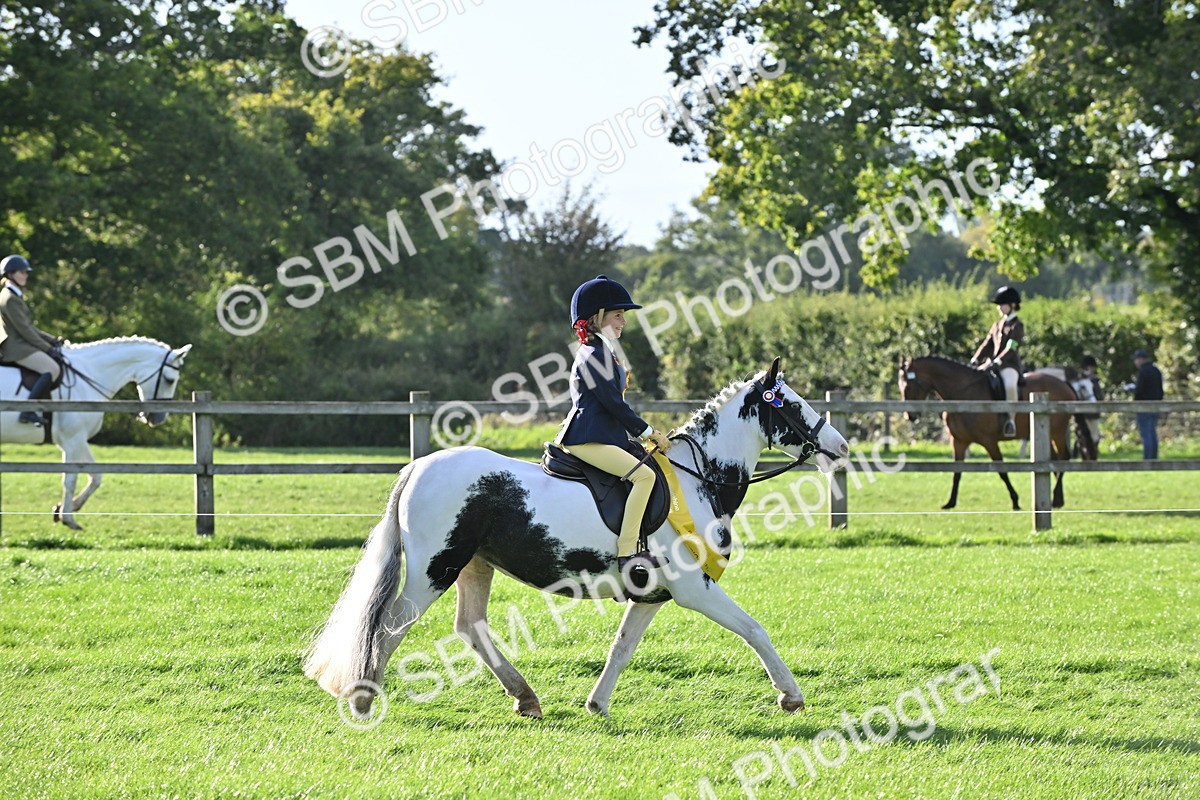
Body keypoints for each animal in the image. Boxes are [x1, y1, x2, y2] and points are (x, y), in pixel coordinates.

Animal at [0, 337, 193, 529]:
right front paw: (68, 518)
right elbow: (70, 479)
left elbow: (96, 476)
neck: (89, 375)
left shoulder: (78, 440)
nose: (159, 418)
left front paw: (65, 508)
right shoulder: (73, 440)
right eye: (170, 380)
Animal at [305, 357, 850, 720]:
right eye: (791, 404)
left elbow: (621, 648)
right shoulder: (696, 589)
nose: (841, 447)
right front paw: (791, 695)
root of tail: (418, 466)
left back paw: (526, 698)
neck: (698, 479)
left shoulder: (653, 595)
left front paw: (597, 703)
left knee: (470, 627)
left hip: (474, 564)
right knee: (390, 626)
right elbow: (755, 630)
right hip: (433, 569)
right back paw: (363, 699)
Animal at [898, 355, 1081, 510]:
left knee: (1064, 457)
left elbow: (1002, 471)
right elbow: (956, 472)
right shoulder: (959, 441)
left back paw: (1055, 498)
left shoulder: (988, 441)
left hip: (1057, 431)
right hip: (1046, 433)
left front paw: (1015, 501)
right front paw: (950, 502)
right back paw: (1057, 500)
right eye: (900, 385)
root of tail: (1064, 384)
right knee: (1054, 461)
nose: (910, 416)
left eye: (910, 385)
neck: (963, 394)